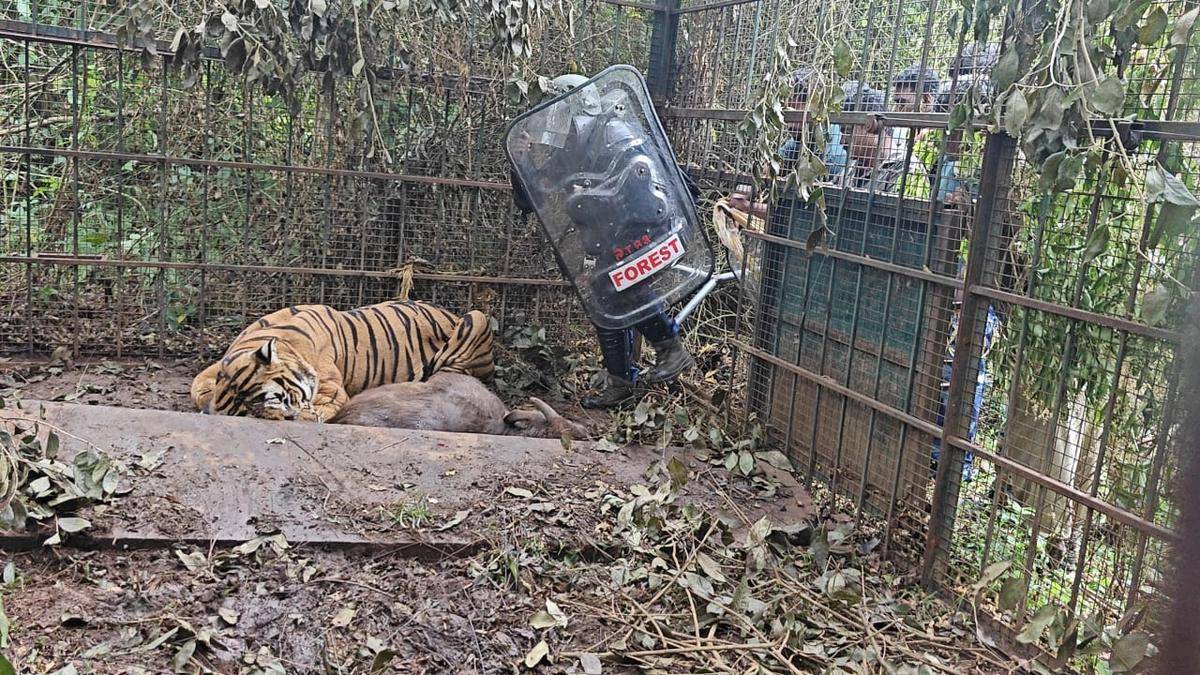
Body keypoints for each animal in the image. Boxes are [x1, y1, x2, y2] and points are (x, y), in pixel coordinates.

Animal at [190, 300, 495, 422]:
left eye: (274, 399)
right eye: (249, 413)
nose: (286, 417)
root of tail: (449, 313)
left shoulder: (331, 390)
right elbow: (196, 385)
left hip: (476, 317)